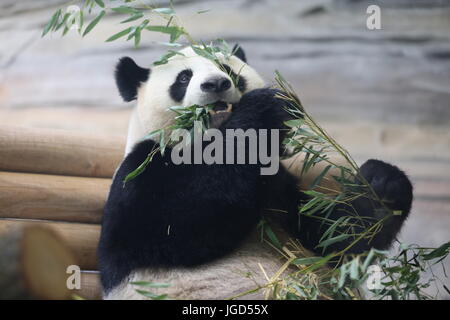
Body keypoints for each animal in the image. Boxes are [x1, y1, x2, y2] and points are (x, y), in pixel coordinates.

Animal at [97, 45, 412, 300]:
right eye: (183, 78)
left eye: (227, 69)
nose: (216, 83)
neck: (210, 138)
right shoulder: (141, 168)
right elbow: (172, 226)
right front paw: (265, 106)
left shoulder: (277, 186)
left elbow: (334, 238)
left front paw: (382, 188)